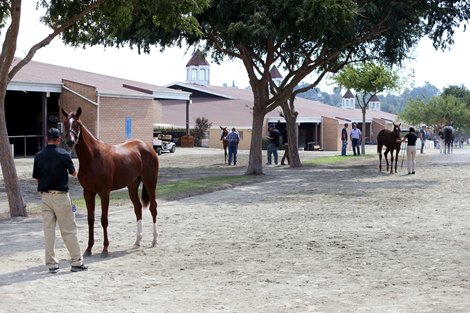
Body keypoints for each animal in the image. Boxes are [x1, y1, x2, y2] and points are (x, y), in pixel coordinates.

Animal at [61, 107, 160, 256]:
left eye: (77, 124)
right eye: (65, 123)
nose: (70, 141)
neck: (92, 158)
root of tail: (147, 146)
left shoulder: (104, 192)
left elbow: (104, 219)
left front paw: (105, 248)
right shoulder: (88, 192)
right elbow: (91, 220)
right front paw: (89, 248)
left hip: (150, 182)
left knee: (153, 207)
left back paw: (154, 240)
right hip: (132, 185)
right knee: (138, 209)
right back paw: (137, 241)